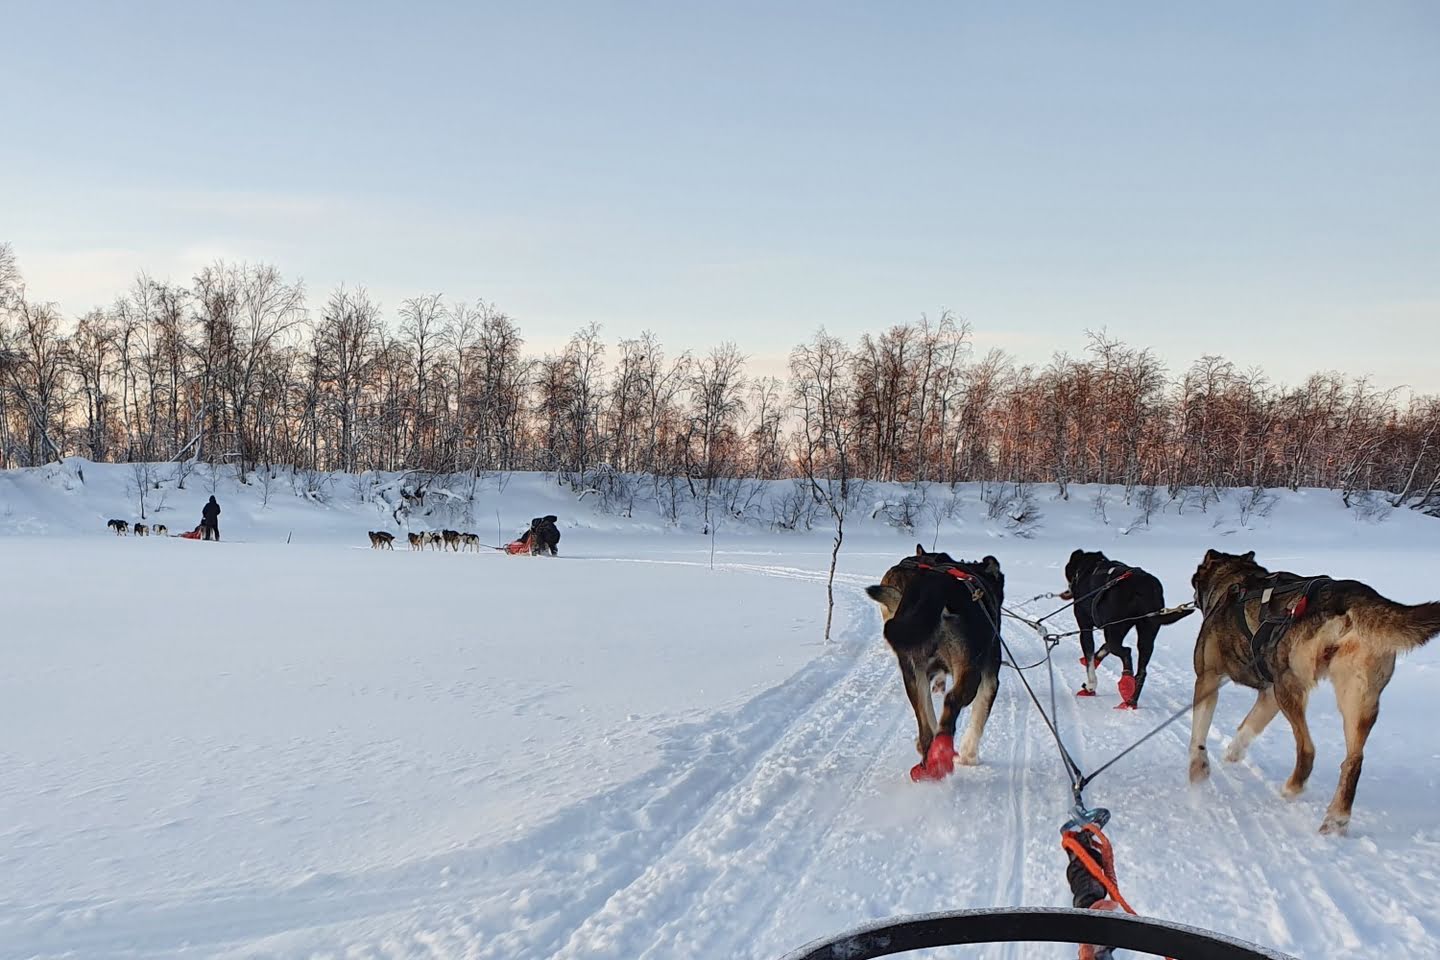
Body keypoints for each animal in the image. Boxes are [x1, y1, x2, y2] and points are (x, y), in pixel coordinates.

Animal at [864, 546, 1002, 782]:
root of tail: (937, 589)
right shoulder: (990, 677)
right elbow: (979, 718)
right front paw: (969, 756)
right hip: (969, 671)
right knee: (952, 702)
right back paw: (942, 753)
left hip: (912, 672)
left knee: (927, 727)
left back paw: (928, 756)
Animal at [1065, 552, 1198, 711]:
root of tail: (1142, 586)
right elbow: (1102, 649)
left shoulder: (1085, 627)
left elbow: (1090, 659)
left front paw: (1091, 686)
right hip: (1147, 632)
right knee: (1141, 671)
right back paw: (1130, 701)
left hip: (1115, 628)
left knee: (1125, 651)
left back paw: (1126, 681)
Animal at [1180, 552, 1440, 834]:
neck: (1235, 580)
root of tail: (1353, 596)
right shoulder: (1268, 695)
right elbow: (1247, 727)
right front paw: (1232, 754)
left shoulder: (1208, 678)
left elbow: (1198, 733)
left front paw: (1198, 768)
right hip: (1358, 697)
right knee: (1354, 760)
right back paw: (1336, 818)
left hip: (1289, 685)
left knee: (1308, 749)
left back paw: (1292, 788)